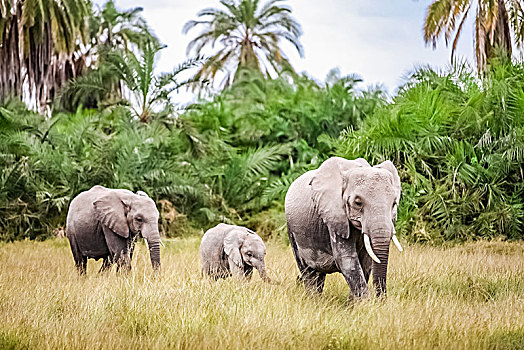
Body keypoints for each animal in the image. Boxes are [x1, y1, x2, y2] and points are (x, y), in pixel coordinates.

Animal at [284, 158, 404, 298]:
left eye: (394, 203)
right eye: (358, 203)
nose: (381, 299)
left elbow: (367, 261)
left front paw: (354, 302)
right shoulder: (335, 218)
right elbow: (346, 259)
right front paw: (365, 302)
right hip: (292, 230)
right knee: (308, 271)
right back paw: (312, 298)